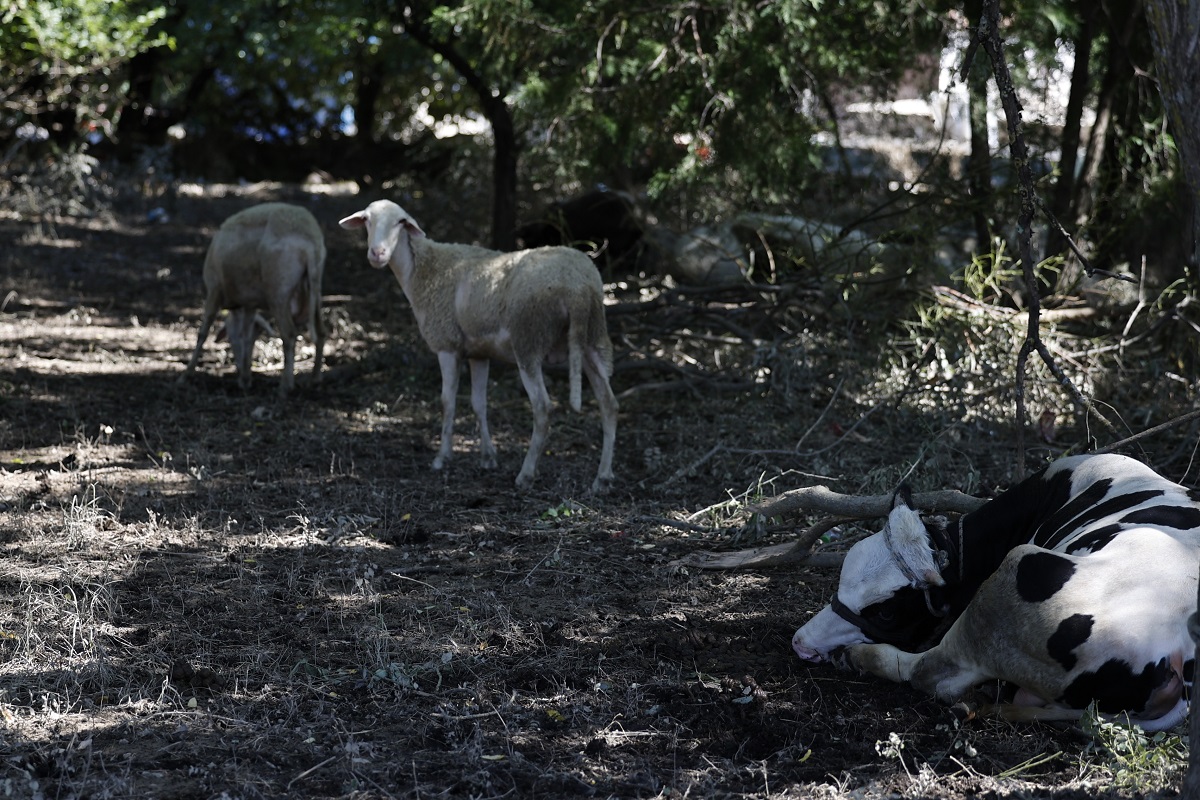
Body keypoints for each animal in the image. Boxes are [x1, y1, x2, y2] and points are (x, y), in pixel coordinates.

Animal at [180, 203, 326, 398]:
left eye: (229, 337)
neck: (236, 307)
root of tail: (310, 242)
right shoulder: (250, 304)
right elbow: (246, 336)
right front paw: (245, 378)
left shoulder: (214, 290)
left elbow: (203, 333)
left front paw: (186, 374)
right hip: (314, 290)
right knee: (321, 332)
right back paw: (315, 378)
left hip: (278, 292)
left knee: (289, 334)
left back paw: (285, 386)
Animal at [338, 199, 619, 494]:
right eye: (367, 220)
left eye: (400, 223)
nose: (377, 253)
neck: (422, 270)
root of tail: (579, 287)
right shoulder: (479, 353)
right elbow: (479, 403)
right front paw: (487, 457)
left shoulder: (447, 344)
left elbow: (448, 402)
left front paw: (442, 458)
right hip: (593, 339)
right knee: (609, 404)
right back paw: (602, 478)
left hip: (529, 339)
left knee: (543, 408)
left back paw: (526, 474)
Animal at [796, 453, 1200, 729]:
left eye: (886, 612)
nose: (801, 642)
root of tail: (1174, 656)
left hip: (1009, 583)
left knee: (931, 674)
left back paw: (858, 658)